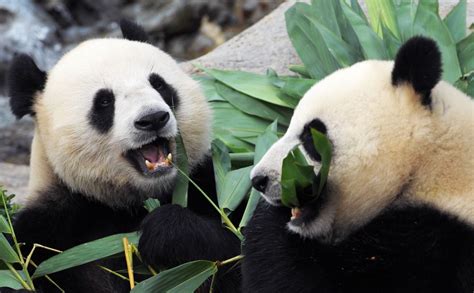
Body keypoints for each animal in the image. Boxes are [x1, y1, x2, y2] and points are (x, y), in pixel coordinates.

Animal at [7, 20, 243, 290]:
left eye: (158, 84)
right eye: (104, 101)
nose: (153, 118)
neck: (129, 204)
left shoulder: (208, 183)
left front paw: (167, 231)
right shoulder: (47, 232)